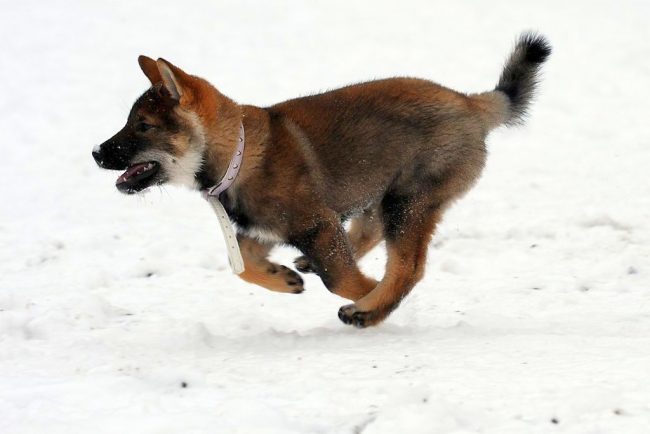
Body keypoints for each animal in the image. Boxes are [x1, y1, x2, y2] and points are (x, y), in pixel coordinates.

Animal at [91, 32, 548, 328]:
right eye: (130, 122)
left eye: (143, 127)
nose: (96, 152)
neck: (240, 150)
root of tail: (472, 104)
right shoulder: (273, 227)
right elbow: (243, 265)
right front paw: (282, 279)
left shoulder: (315, 223)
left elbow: (343, 280)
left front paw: (368, 296)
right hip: (382, 194)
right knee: (369, 231)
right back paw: (311, 267)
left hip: (409, 200)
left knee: (407, 267)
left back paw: (369, 309)